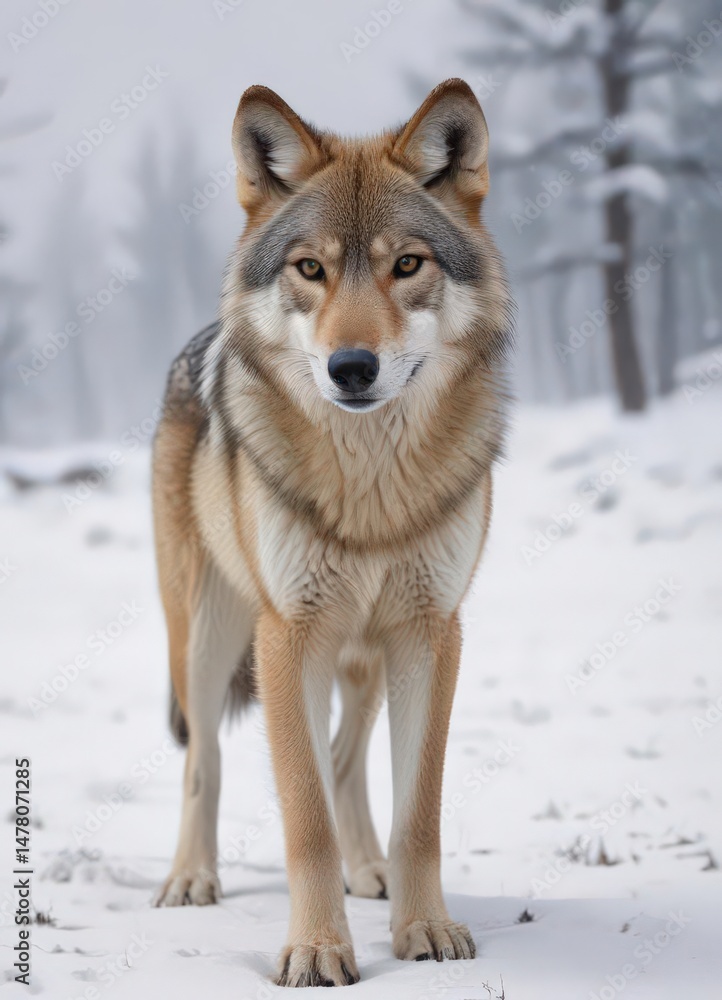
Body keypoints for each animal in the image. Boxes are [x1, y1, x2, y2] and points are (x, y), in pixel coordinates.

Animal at [152, 78, 512, 987]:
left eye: (407, 265)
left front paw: (426, 930)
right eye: (310, 268)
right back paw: (190, 880)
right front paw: (317, 950)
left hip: (365, 654)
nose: (352, 368)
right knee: (203, 762)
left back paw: (370, 871)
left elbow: (417, 810)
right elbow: (304, 812)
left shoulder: (431, 633)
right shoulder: (289, 637)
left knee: (348, 759)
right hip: (208, 638)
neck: (372, 493)